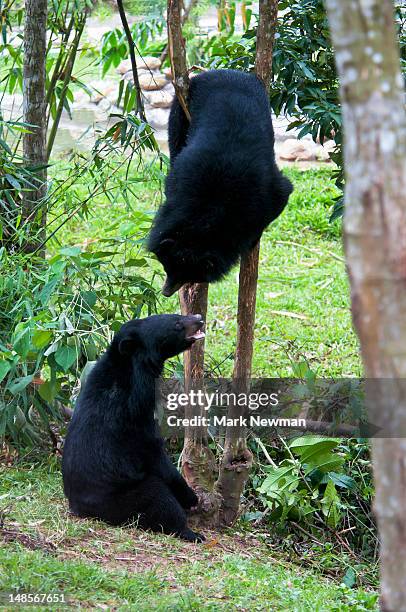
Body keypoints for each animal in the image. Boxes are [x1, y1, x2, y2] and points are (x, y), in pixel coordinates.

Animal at [62, 316, 206, 540]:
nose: (199, 318)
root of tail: (78, 509)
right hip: (123, 497)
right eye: (176, 323)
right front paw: (191, 497)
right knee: (158, 496)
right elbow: (156, 454)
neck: (129, 366)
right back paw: (191, 533)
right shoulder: (135, 413)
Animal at [147, 69, 294, 296]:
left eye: (189, 274)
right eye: (166, 267)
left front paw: (253, 242)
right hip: (178, 110)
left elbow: (281, 195)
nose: (166, 291)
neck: (209, 214)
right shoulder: (180, 181)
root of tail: (224, 71)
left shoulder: (267, 194)